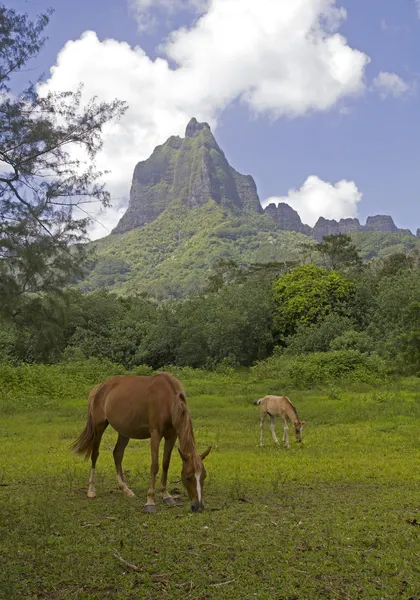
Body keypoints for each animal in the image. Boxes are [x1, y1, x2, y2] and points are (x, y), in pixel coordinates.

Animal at [72, 372, 212, 512]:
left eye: (204, 475)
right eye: (188, 476)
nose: (198, 506)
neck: (167, 400)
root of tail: (100, 387)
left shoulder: (171, 436)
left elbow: (165, 464)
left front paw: (166, 495)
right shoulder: (155, 434)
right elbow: (155, 466)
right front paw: (150, 501)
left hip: (124, 431)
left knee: (117, 454)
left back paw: (126, 489)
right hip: (99, 426)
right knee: (95, 454)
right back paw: (91, 490)